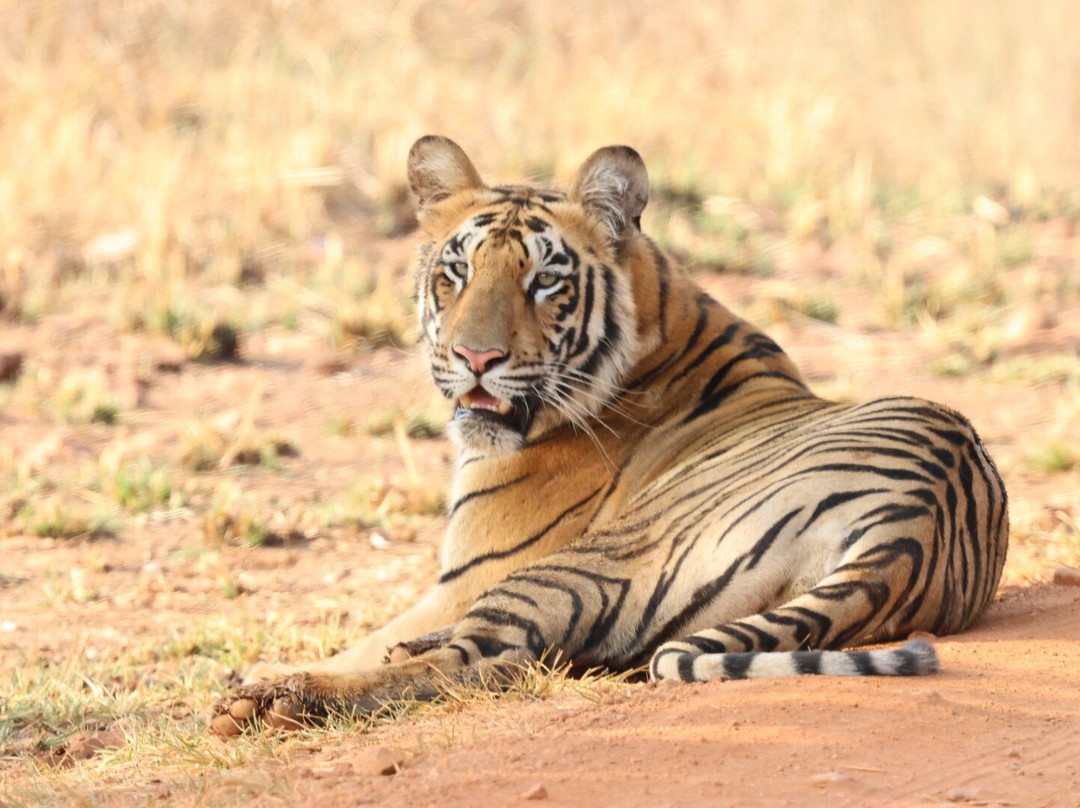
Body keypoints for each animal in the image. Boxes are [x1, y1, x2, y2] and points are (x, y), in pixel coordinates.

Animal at [211, 135, 1008, 733]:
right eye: (457, 272)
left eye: (544, 282)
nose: (475, 358)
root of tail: (910, 530)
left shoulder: (468, 574)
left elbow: (363, 645)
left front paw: (259, 676)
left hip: (589, 560)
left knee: (480, 661)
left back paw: (269, 701)